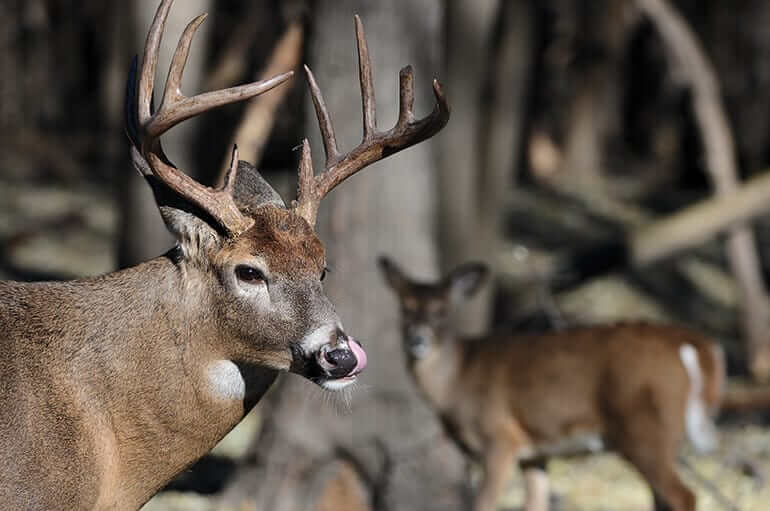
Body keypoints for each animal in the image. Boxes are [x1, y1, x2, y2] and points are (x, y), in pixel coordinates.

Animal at [378, 256, 770, 511]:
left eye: (442, 310)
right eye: (404, 308)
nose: (417, 340)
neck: (458, 381)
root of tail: (693, 343)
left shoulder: (499, 438)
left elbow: (484, 505)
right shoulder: (534, 451)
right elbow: (534, 505)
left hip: (644, 428)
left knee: (682, 496)